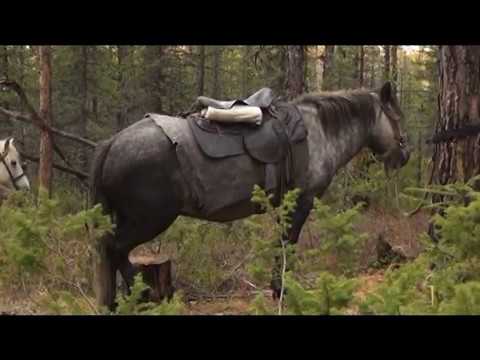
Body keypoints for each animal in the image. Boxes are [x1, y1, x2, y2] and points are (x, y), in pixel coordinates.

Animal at [92, 82, 410, 310]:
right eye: (396, 116)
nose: (405, 155)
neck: (319, 132)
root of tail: (111, 143)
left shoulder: (285, 206)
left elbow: (281, 244)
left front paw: (277, 287)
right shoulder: (301, 201)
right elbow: (288, 244)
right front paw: (282, 289)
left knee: (109, 250)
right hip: (149, 219)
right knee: (115, 248)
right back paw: (143, 295)